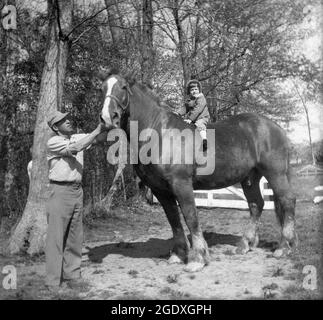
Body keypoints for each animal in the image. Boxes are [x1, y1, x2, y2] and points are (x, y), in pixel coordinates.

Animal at [98, 69, 296, 270]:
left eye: (123, 87)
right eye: (102, 88)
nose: (108, 118)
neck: (159, 133)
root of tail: (275, 127)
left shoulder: (181, 184)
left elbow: (190, 216)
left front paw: (198, 258)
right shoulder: (160, 190)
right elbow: (174, 220)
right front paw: (178, 255)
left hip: (275, 174)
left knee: (287, 201)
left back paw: (284, 247)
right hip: (250, 178)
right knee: (256, 204)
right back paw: (244, 245)